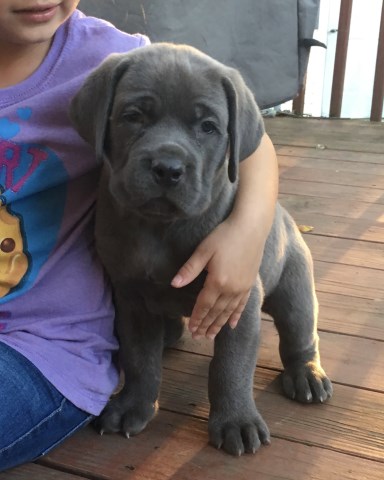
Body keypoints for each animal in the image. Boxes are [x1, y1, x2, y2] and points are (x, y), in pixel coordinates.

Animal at [70, 43, 332, 456]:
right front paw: (133, 406)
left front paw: (236, 421)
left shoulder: (236, 301)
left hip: (295, 289)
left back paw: (307, 374)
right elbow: (140, 359)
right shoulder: (131, 299)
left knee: (301, 334)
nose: (168, 168)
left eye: (208, 127)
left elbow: (230, 366)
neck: (159, 229)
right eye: (133, 117)